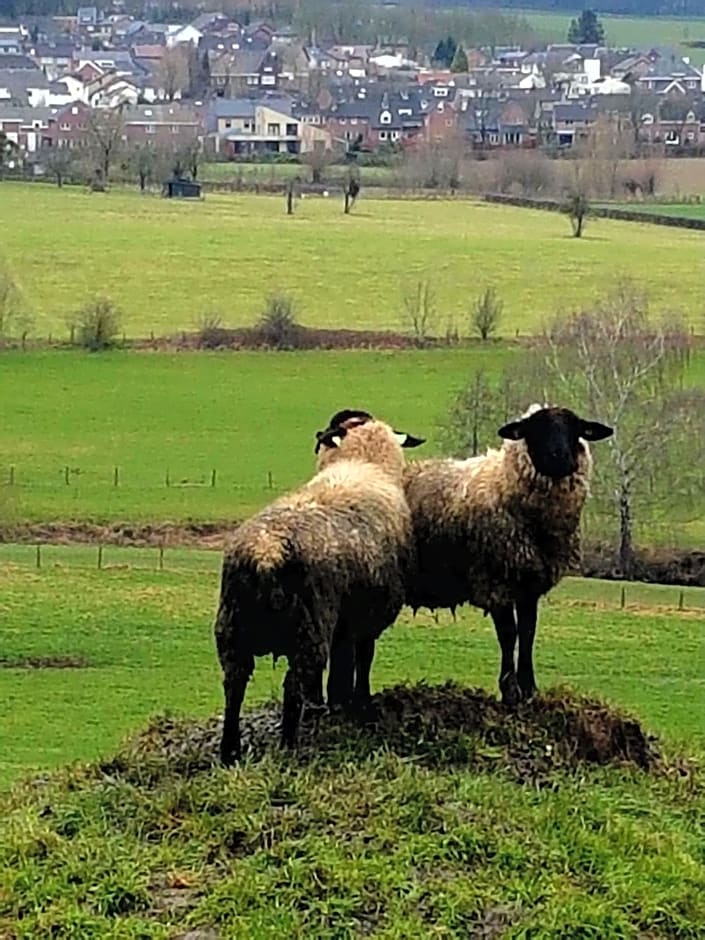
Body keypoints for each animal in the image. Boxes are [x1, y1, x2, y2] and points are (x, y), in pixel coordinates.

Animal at [213, 410, 424, 764]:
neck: (364, 464)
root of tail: (267, 553)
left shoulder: (346, 624)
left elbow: (341, 665)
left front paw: (329, 704)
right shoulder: (365, 620)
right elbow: (359, 661)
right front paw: (356, 702)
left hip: (232, 629)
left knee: (234, 685)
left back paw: (231, 752)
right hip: (309, 628)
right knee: (293, 686)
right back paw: (288, 746)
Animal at [324, 406, 612, 712]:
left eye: (576, 430)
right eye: (535, 429)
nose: (561, 458)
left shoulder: (528, 585)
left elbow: (528, 633)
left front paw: (529, 689)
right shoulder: (496, 580)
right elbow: (508, 635)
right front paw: (510, 692)